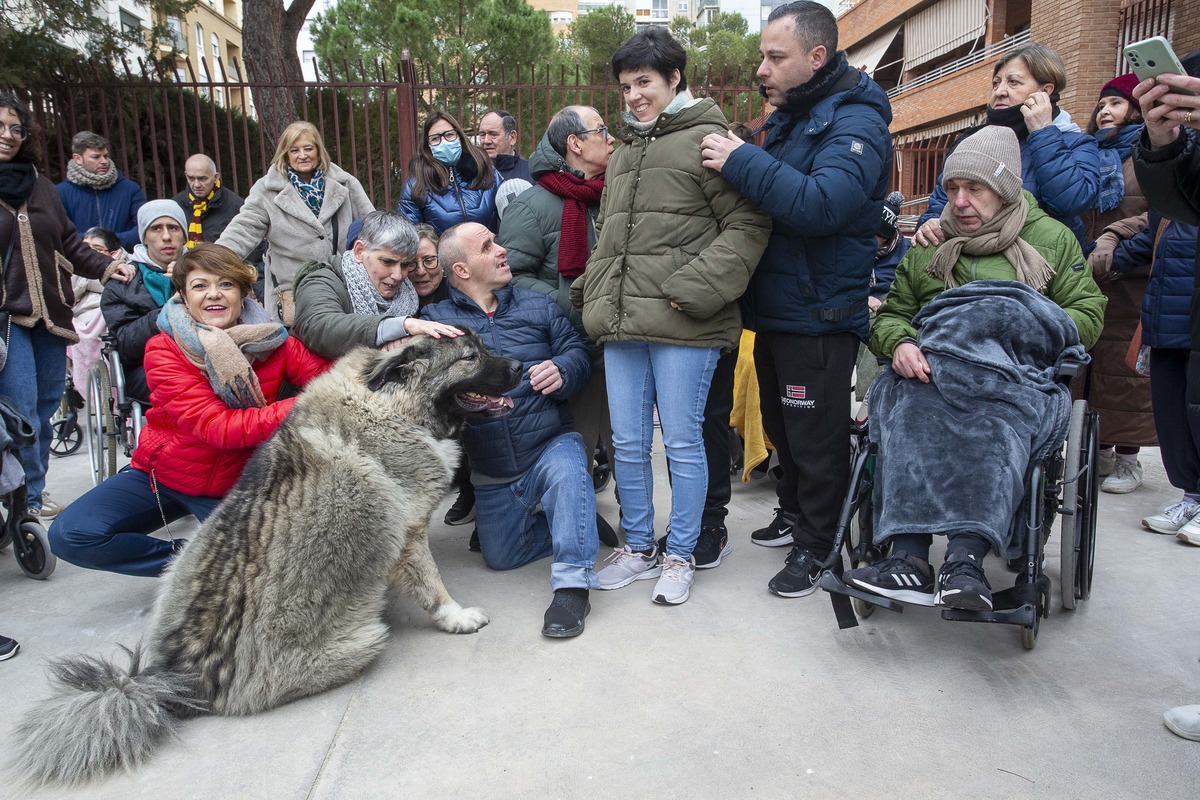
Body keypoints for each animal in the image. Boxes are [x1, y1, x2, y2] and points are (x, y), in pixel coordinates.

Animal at [12, 331, 520, 786]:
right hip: (366, 640)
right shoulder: (410, 535)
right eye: (471, 356)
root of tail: (177, 677)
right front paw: (456, 616)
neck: (389, 405)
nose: (519, 367)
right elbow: (432, 585)